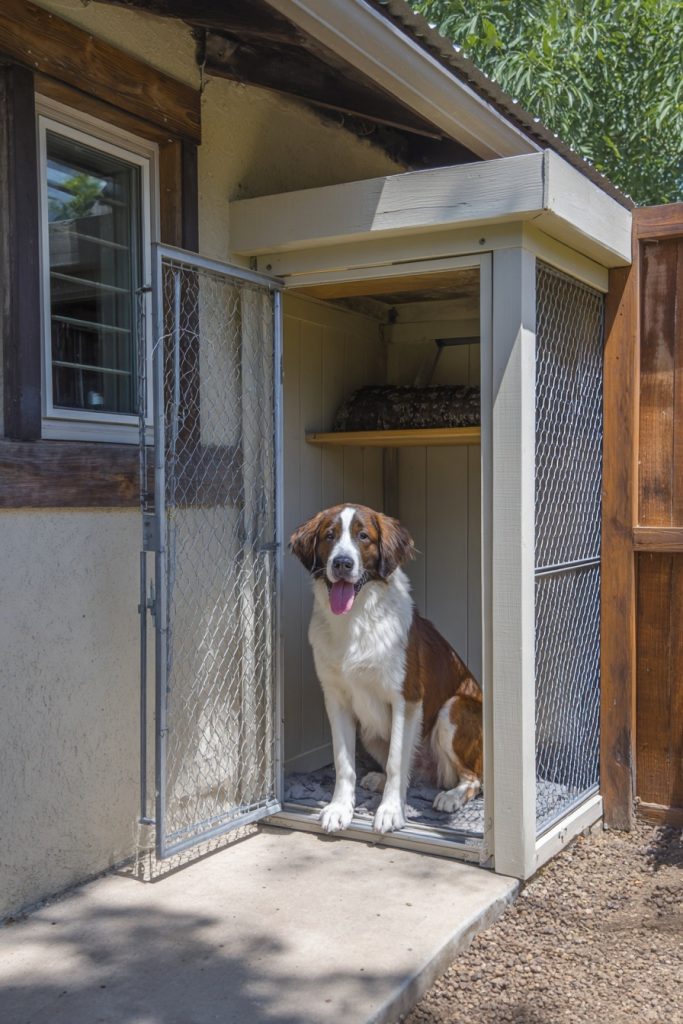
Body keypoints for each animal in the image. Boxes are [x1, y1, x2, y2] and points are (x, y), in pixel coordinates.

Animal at [290, 503, 482, 834]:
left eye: (363, 536)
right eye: (329, 536)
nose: (342, 563)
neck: (356, 619)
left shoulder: (407, 699)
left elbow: (395, 762)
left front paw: (391, 811)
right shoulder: (336, 699)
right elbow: (344, 762)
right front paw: (340, 808)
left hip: (454, 708)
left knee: (474, 777)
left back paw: (451, 796)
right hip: (371, 733)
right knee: (412, 773)